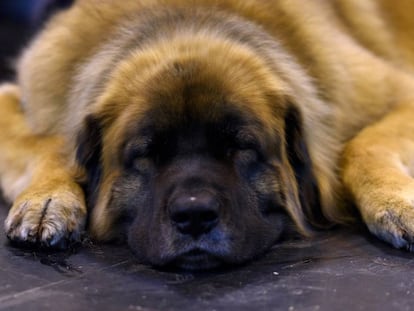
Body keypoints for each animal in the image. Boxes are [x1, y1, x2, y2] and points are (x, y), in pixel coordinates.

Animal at [0, 0, 414, 270]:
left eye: (242, 148)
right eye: (145, 154)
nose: (194, 215)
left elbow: (361, 146)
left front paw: (396, 202)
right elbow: (48, 144)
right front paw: (47, 199)